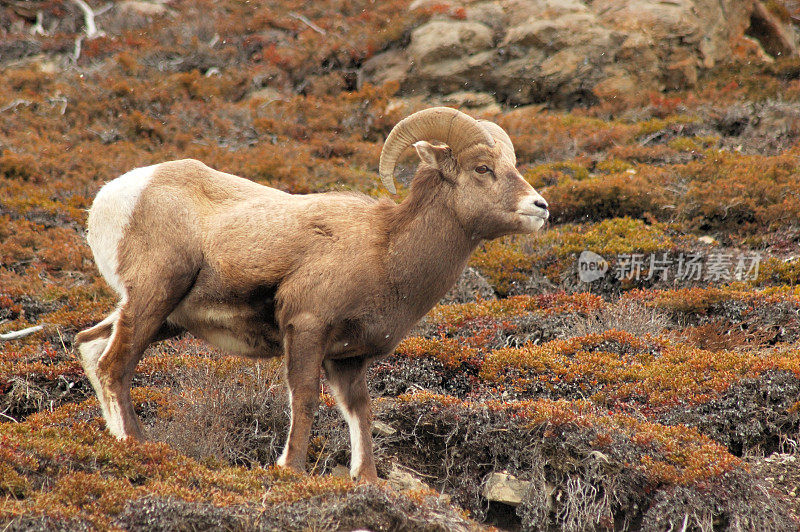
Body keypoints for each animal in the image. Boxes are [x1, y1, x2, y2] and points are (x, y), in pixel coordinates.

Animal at [73, 106, 552, 480]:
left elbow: (360, 412)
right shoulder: (306, 330)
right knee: (115, 366)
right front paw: (292, 469)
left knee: (91, 347)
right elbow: (304, 399)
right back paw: (141, 448)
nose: (540, 207)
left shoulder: (348, 359)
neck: (386, 251)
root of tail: (112, 198)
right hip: (154, 297)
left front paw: (367, 479)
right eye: (482, 168)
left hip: (163, 316)